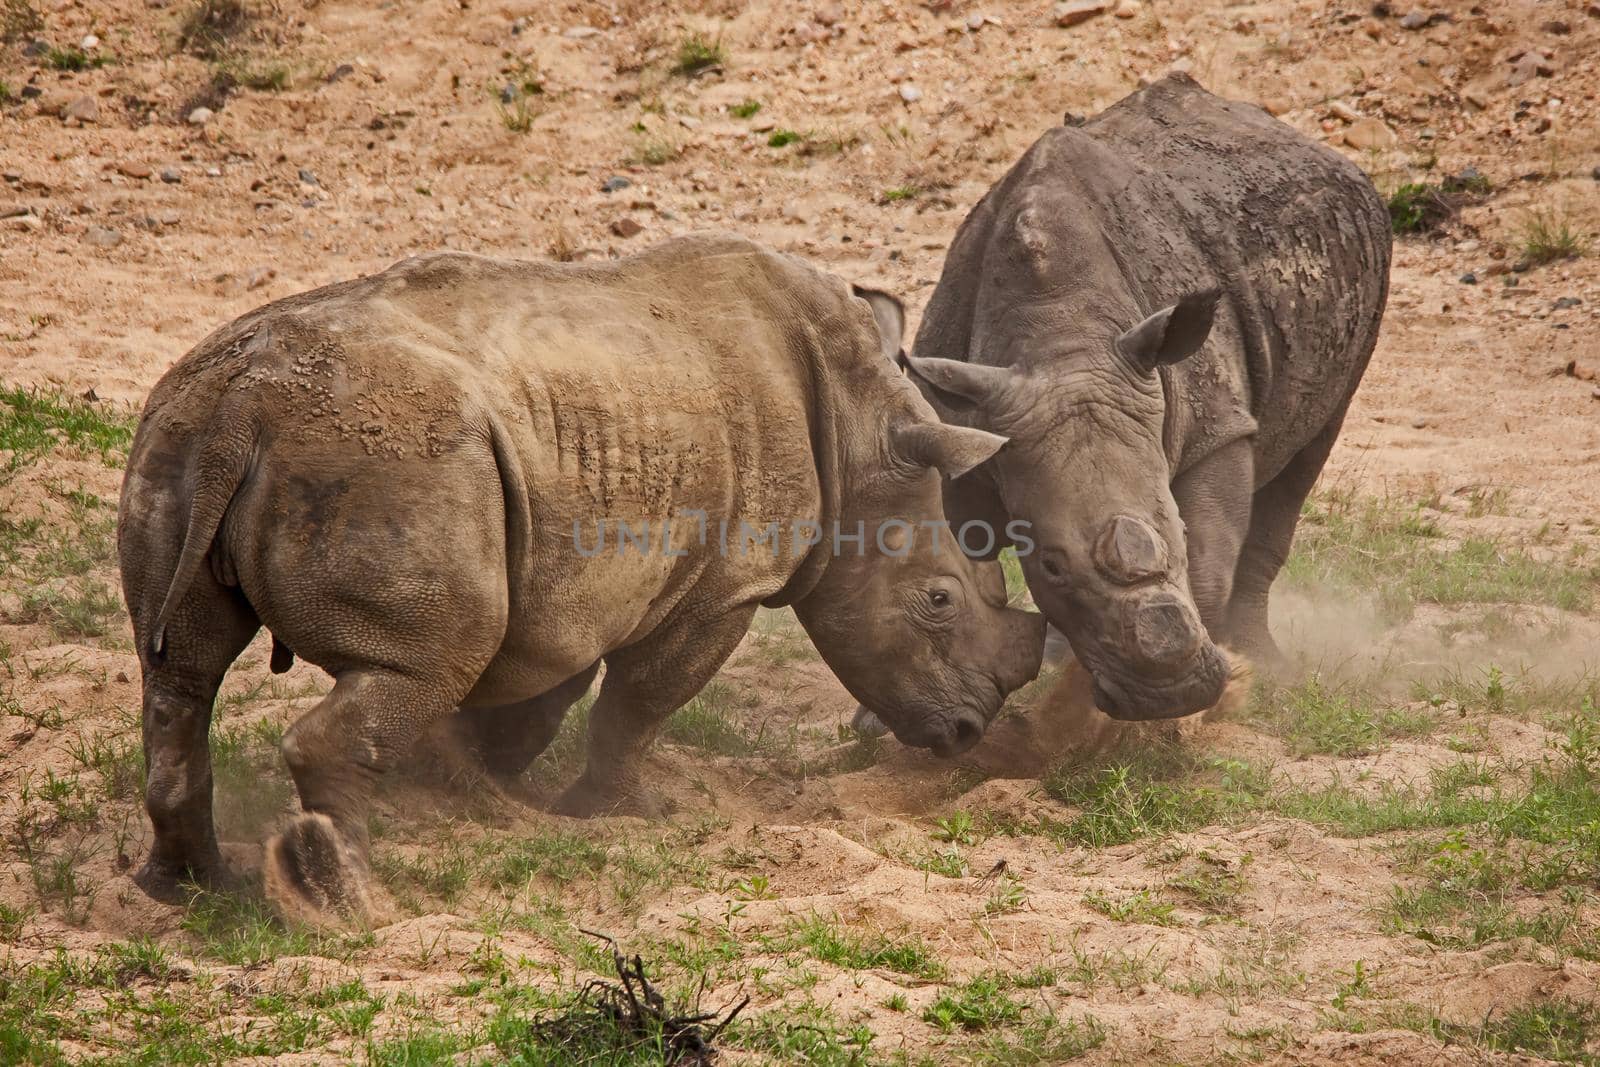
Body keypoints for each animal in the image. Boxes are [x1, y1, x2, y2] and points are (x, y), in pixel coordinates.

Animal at [124, 233, 1049, 927]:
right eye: (938, 601)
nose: (967, 731)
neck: (863, 432)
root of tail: (245, 404)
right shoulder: (727, 581)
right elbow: (641, 700)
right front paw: (613, 813)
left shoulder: (564, 575)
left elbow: (541, 691)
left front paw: (487, 793)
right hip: (390, 458)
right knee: (433, 660)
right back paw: (354, 904)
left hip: (180, 428)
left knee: (178, 675)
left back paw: (191, 888)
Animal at [864, 75, 1388, 723]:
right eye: (1049, 565)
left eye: (1179, 535)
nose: (1170, 695)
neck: (1060, 332)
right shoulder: (963, 427)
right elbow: (942, 567)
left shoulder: (1217, 429)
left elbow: (1210, 562)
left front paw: (1182, 715)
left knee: (1308, 454)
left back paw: (1267, 667)